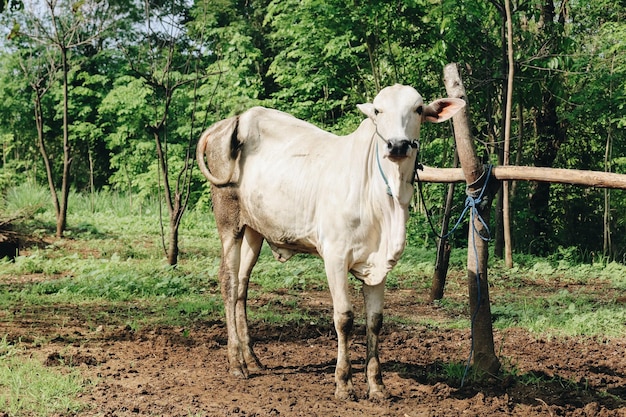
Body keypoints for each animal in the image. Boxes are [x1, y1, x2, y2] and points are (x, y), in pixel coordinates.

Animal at [195, 84, 464, 400]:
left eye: (419, 109)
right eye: (377, 110)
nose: (397, 146)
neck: (385, 199)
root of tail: (233, 120)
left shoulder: (379, 264)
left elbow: (375, 321)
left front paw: (377, 386)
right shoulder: (335, 256)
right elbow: (344, 318)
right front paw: (344, 383)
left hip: (254, 231)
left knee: (242, 285)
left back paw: (252, 358)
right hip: (229, 223)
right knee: (228, 281)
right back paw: (236, 362)